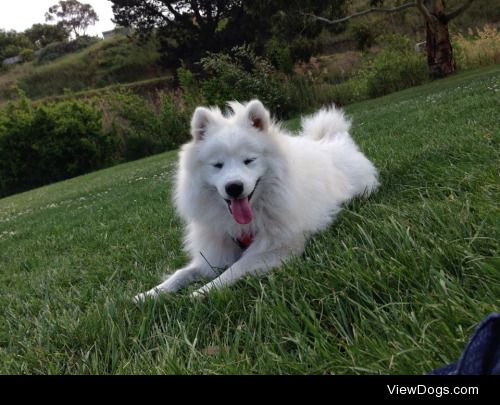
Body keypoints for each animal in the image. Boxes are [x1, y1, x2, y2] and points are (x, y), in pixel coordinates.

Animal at [135, 98, 376, 300]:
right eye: (218, 165)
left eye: (249, 160)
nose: (234, 187)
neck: (247, 221)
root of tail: (332, 139)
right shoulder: (216, 249)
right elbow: (182, 273)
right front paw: (149, 295)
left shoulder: (276, 249)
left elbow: (233, 270)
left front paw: (199, 293)